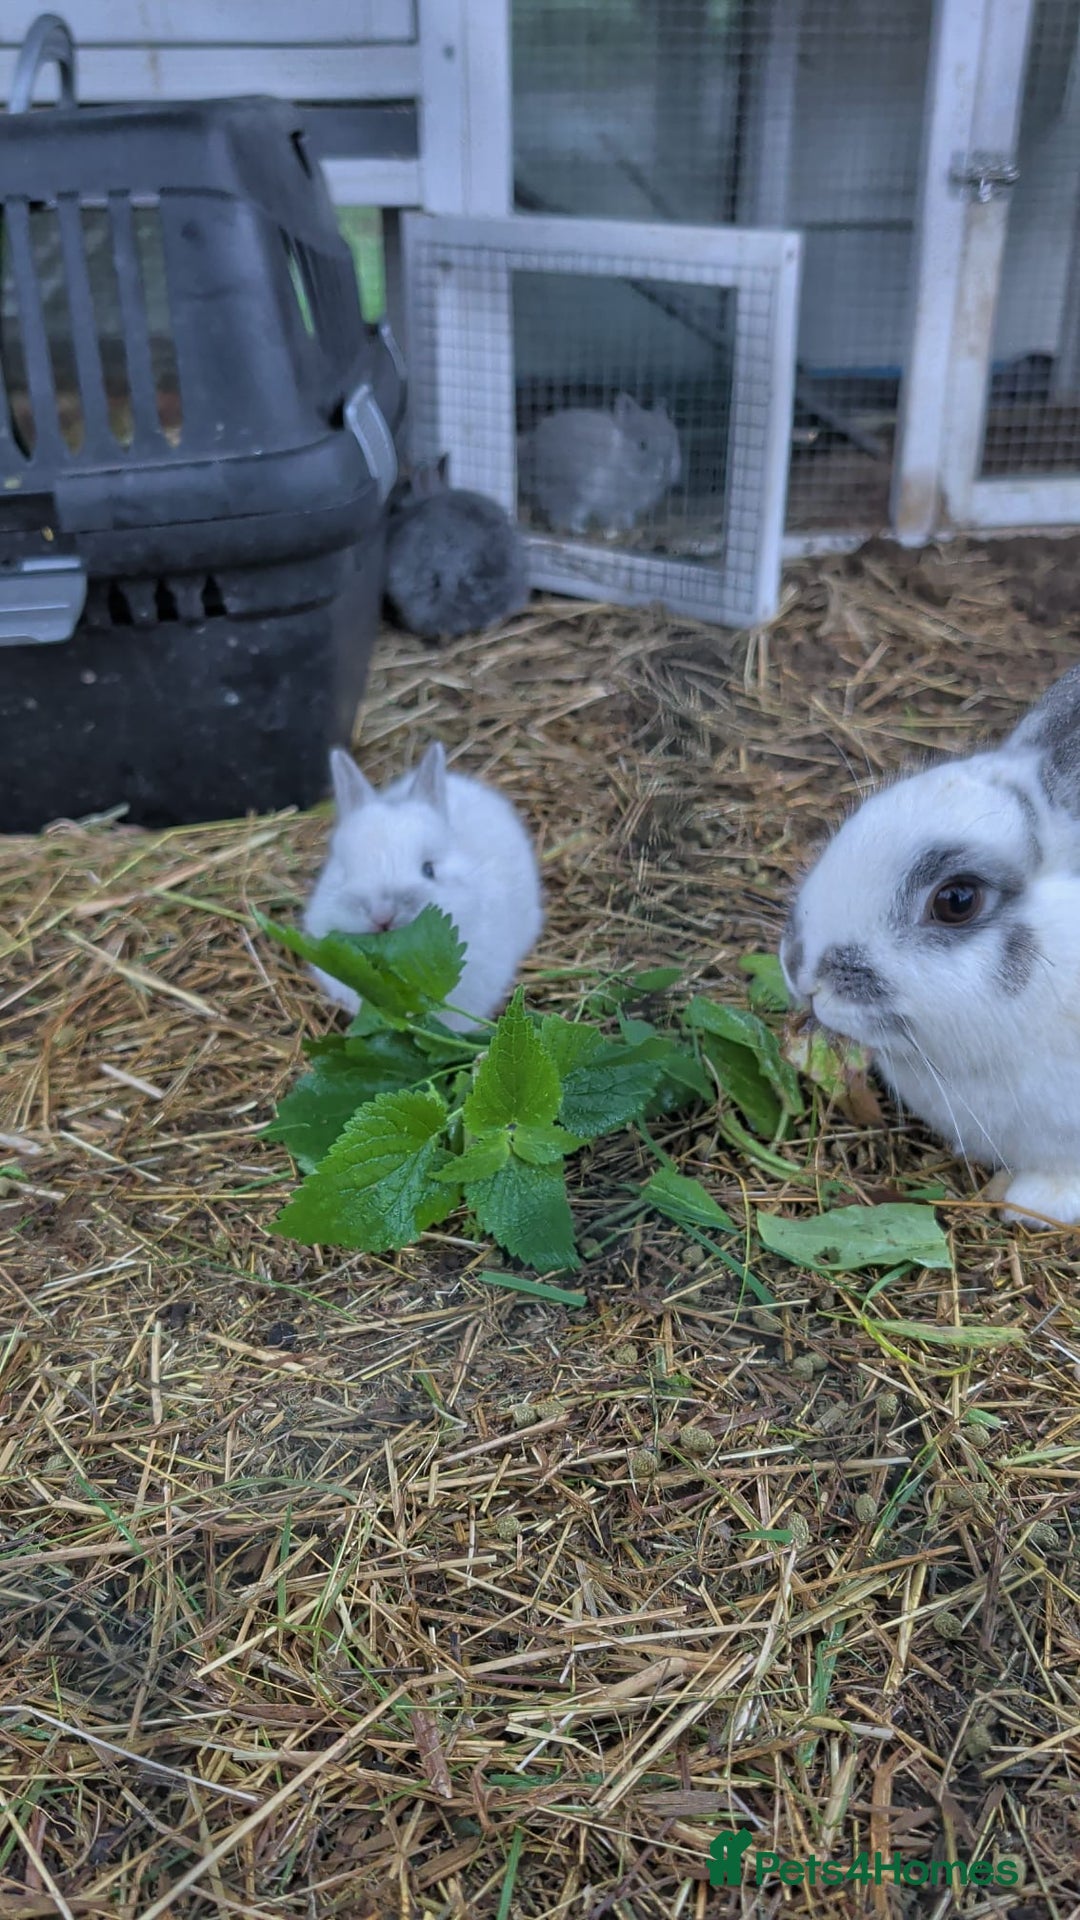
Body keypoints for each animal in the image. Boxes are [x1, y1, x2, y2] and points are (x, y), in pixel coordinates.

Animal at [516, 392, 681, 536]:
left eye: (671, 440)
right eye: (642, 445)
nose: (665, 469)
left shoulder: (627, 507)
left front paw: (628, 527)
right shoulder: (606, 501)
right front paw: (614, 531)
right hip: (569, 495)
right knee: (564, 517)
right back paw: (580, 531)